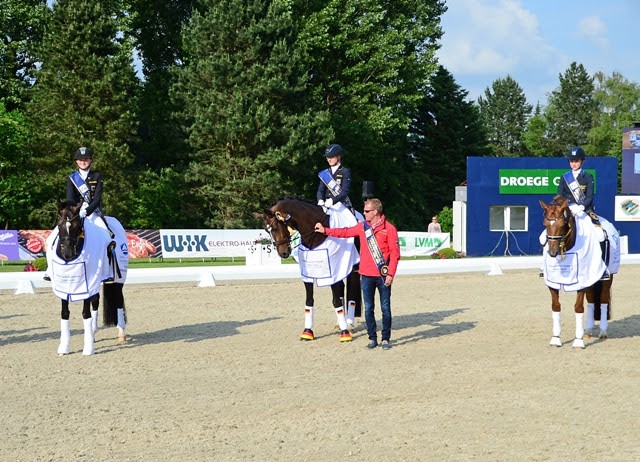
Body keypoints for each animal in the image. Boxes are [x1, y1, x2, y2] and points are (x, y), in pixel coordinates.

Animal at [46, 200, 130, 356]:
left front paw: (88, 349)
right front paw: (64, 348)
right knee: (96, 301)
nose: (67, 254)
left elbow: (85, 313)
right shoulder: (64, 286)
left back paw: (121, 333)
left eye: (77, 226)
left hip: (117, 279)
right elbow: (65, 313)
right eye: (59, 225)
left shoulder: (86, 283)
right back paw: (93, 331)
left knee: (118, 300)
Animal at [252, 197, 360, 342]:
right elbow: (309, 301)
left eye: (275, 227)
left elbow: (336, 301)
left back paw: (349, 325)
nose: (283, 253)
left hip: (352, 269)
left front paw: (345, 334)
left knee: (351, 295)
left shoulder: (332, 272)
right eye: (266, 230)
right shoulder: (308, 274)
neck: (315, 232)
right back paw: (339, 324)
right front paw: (307, 332)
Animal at [540, 193, 616, 348]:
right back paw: (588, 331)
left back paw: (602, 332)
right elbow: (555, 306)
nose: (552, 253)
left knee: (603, 300)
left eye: (563, 225)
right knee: (592, 300)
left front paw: (578, 341)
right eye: (545, 225)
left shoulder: (582, 281)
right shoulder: (552, 281)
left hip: (608, 277)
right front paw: (556, 338)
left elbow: (578, 307)